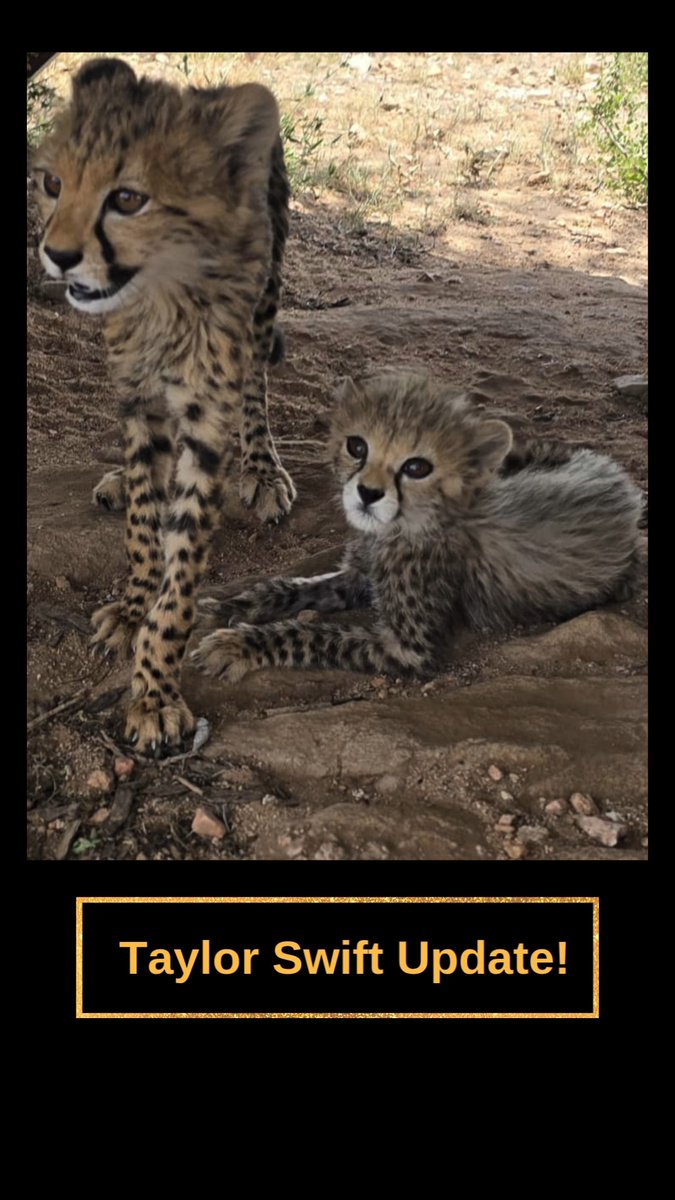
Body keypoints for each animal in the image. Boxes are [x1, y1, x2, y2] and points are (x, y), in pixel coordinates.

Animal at [30, 56, 296, 752]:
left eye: (128, 198)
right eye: (52, 183)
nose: (57, 255)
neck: (161, 295)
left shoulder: (206, 425)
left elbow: (180, 582)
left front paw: (154, 692)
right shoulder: (138, 400)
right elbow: (145, 532)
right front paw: (131, 608)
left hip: (265, 300)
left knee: (256, 384)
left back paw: (263, 469)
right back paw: (122, 481)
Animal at [192, 370, 643, 681]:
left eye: (417, 467)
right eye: (357, 446)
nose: (368, 493)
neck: (402, 526)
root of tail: (621, 478)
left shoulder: (406, 648)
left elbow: (310, 635)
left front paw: (237, 645)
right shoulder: (358, 576)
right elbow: (288, 588)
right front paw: (231, 607)